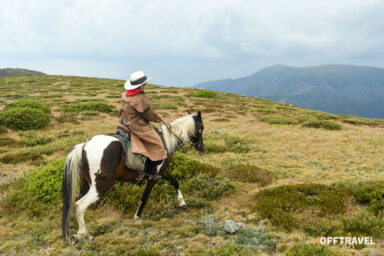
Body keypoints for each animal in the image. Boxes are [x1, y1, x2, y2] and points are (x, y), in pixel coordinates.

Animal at [61, 111, 204, 242]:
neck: (166, 142)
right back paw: (85, 234)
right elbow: (145, 196)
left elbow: (175, 182)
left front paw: (182, 203)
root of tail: (83, 146)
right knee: (80, 205)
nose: (201, 147)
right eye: (201, 127)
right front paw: (137, 216)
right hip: (100, 186)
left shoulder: (162, 172)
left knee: (76, 202)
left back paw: (79, 233)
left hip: (86, 184)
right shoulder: (154, 176)